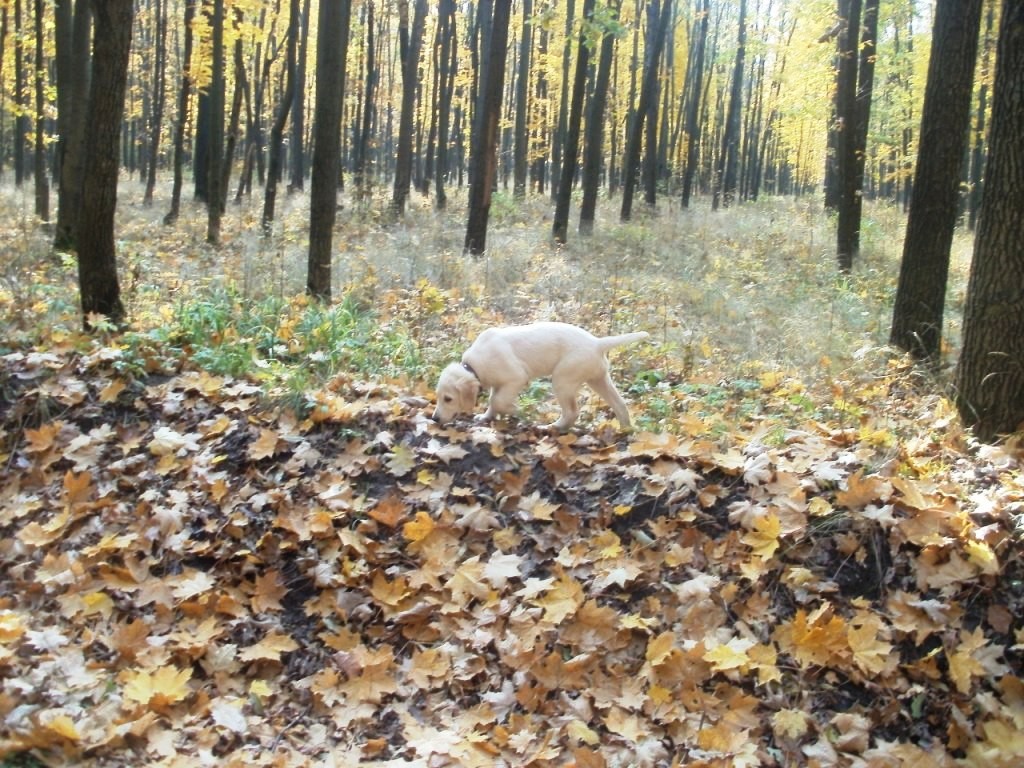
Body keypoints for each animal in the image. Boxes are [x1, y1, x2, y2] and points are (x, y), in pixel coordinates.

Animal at [432, 321, 647, 434]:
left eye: (448, 399)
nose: (434, 419)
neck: (474, 365)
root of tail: (597, 342)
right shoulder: (497, 382)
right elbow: (493, 400)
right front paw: (486, 416)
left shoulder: (516, 378)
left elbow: (498, 400)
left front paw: (516, 410)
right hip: (598, 379)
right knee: (620, 405)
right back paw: (626, 430)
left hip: (562, 380)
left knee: (572, 412)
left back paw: (552, 427)